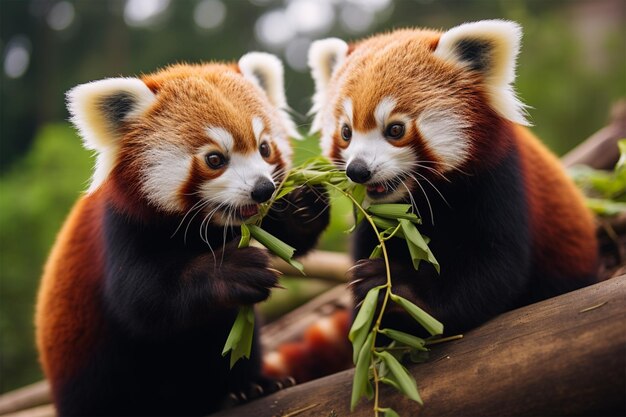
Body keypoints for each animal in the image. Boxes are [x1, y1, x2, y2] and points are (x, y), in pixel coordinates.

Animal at [34, 53, 330, 414]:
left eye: (264, 148)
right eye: (215, 159)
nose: (263, 189)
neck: (209, 227)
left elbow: (291, 241)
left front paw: (303, 204)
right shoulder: (119, 227)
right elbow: (141, 301)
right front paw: (231, 270)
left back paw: (250, 387)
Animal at [260, 20, 596, 380]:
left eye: (395, 129)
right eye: (346, 132)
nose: (358, 170)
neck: (417, 202)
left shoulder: (499, 180)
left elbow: (494, 270)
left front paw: (402, 292)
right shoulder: (372, 221)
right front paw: (301, 204)